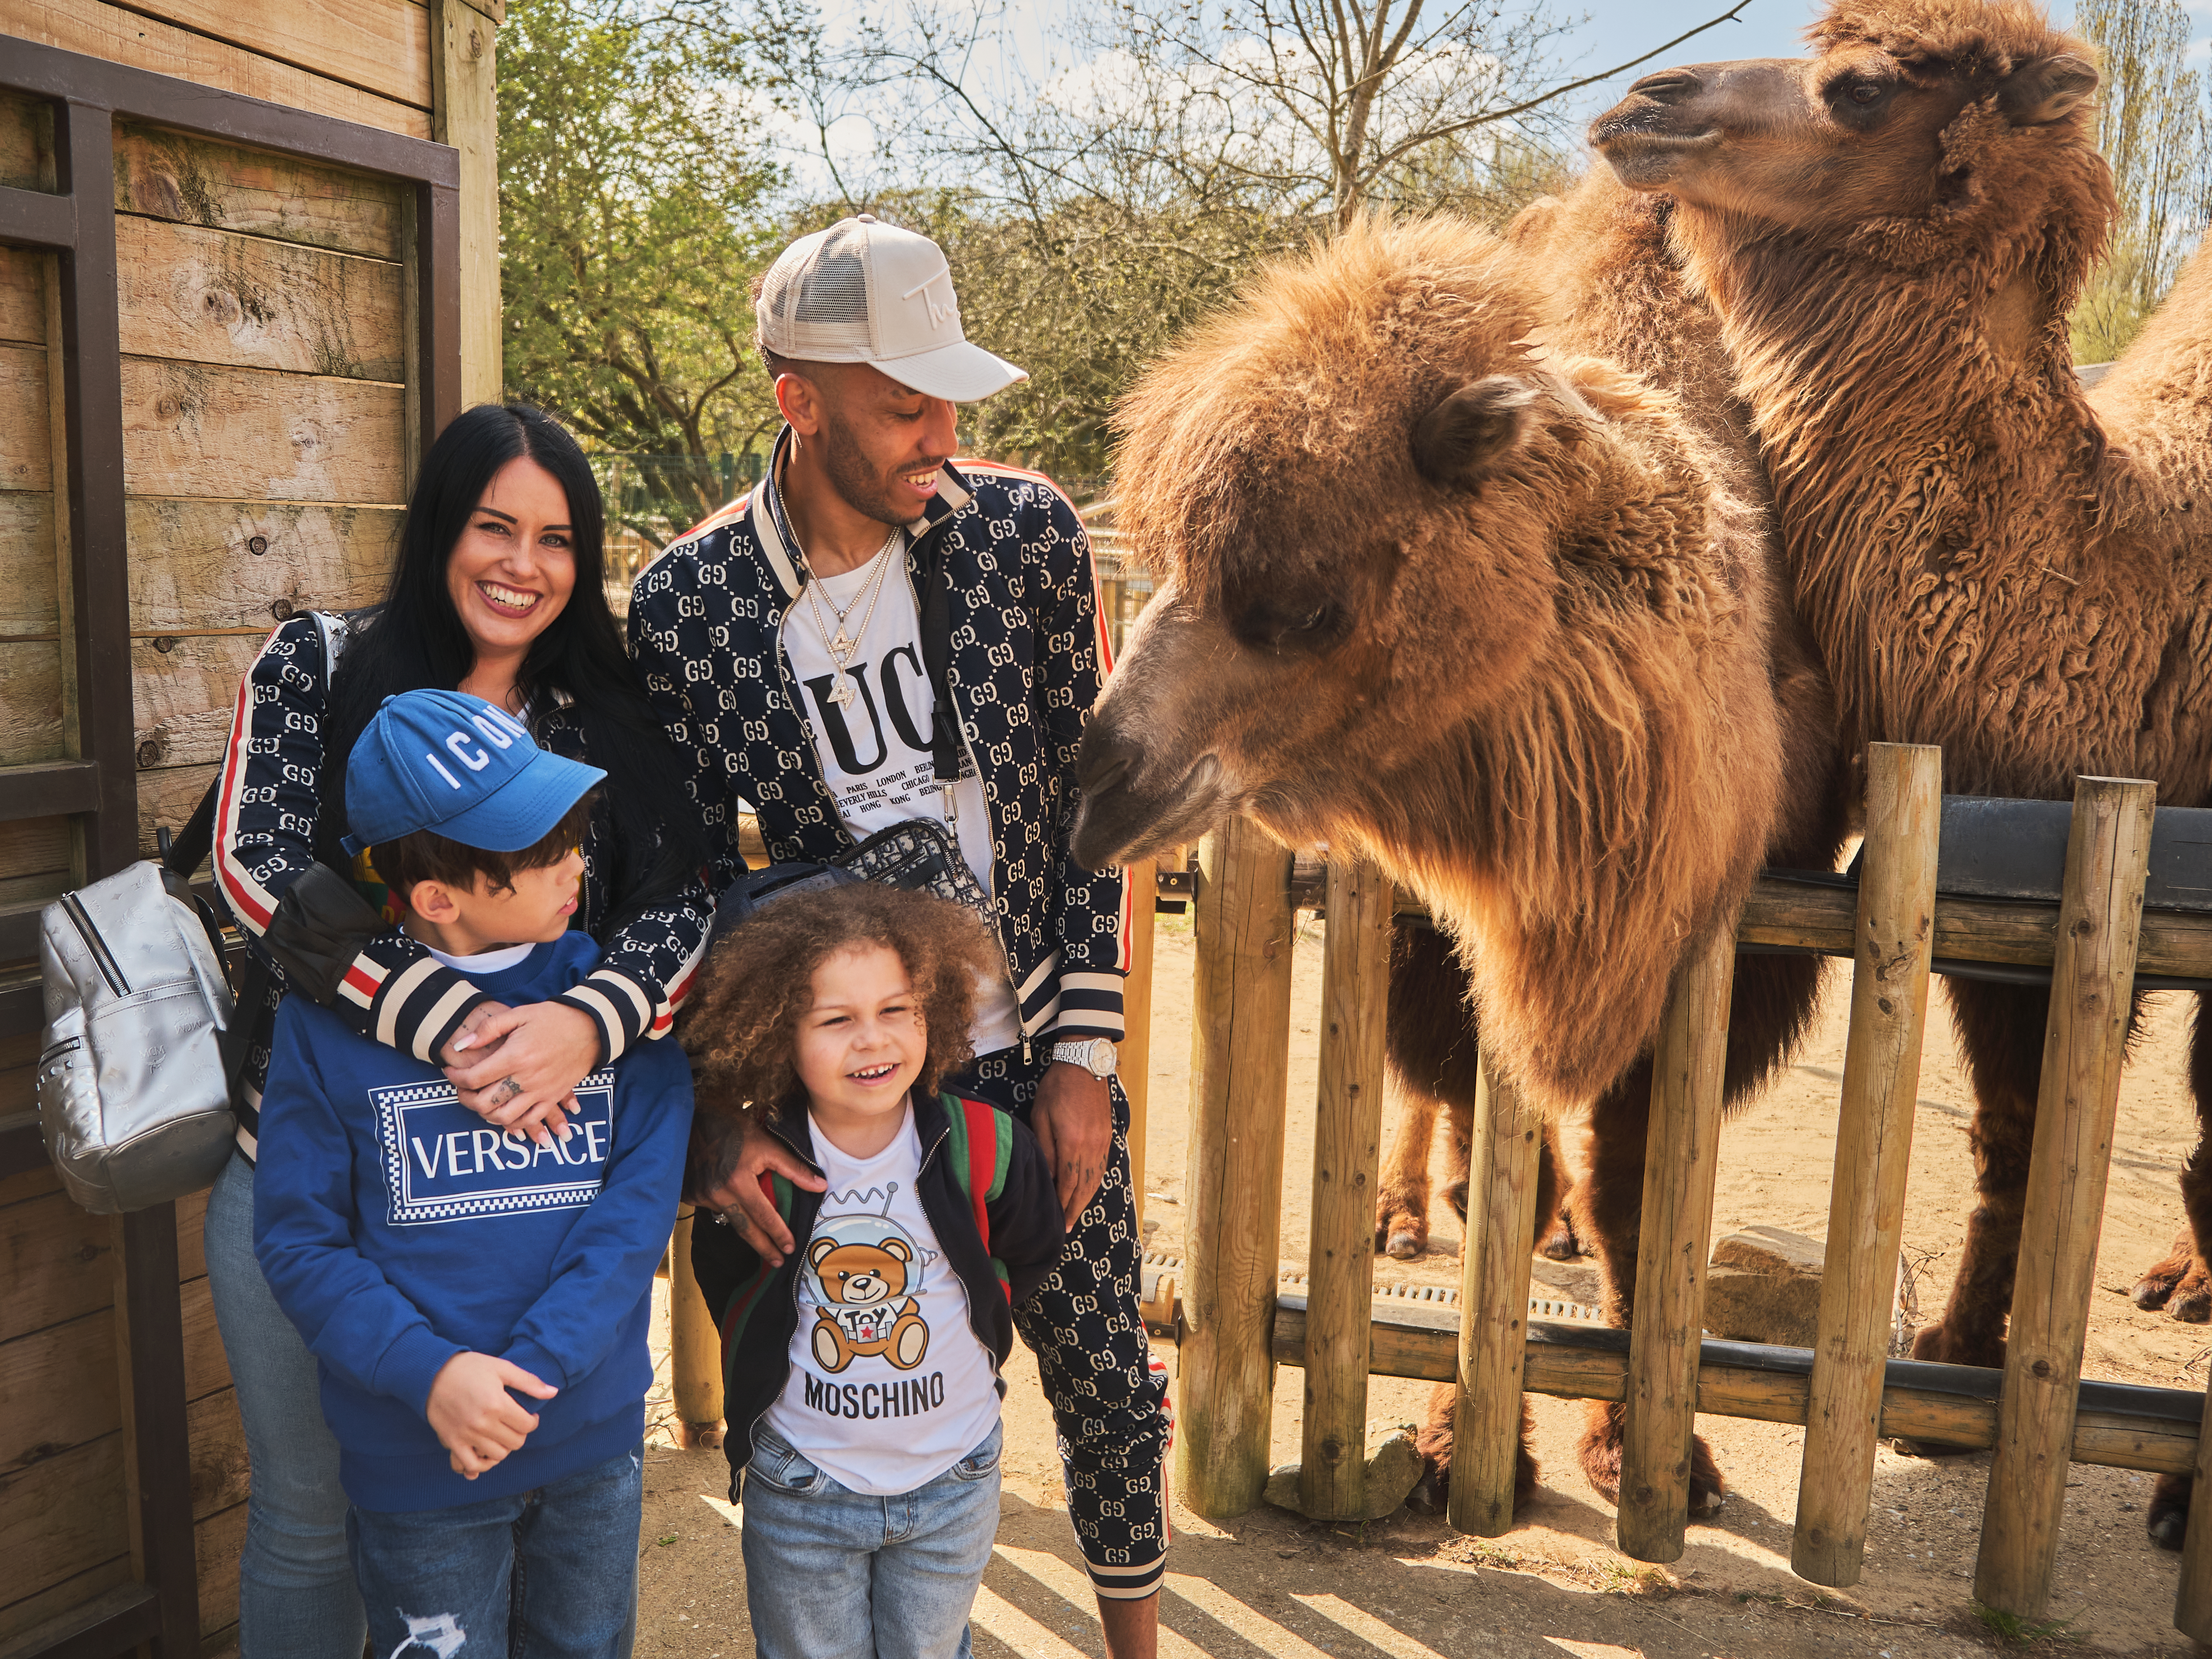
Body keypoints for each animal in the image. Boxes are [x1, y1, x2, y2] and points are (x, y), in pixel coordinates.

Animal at [1070, 211, 1849, 1521]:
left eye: (1304, 602)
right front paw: (1452, 1445)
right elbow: (1497, 1177)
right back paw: (1396, 1212)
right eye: (1164, 565)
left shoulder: (1723, 956)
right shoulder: (1430, 937)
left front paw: (1649, 1452)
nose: (1097, 783)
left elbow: (1635, 1195)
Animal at [1601, 0, 2212, 1548]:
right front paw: (1947, 1377)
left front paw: (2178, 1496)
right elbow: (2013, 1130)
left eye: (1864, 86)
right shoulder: (2013, 888)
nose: (1642, 99)